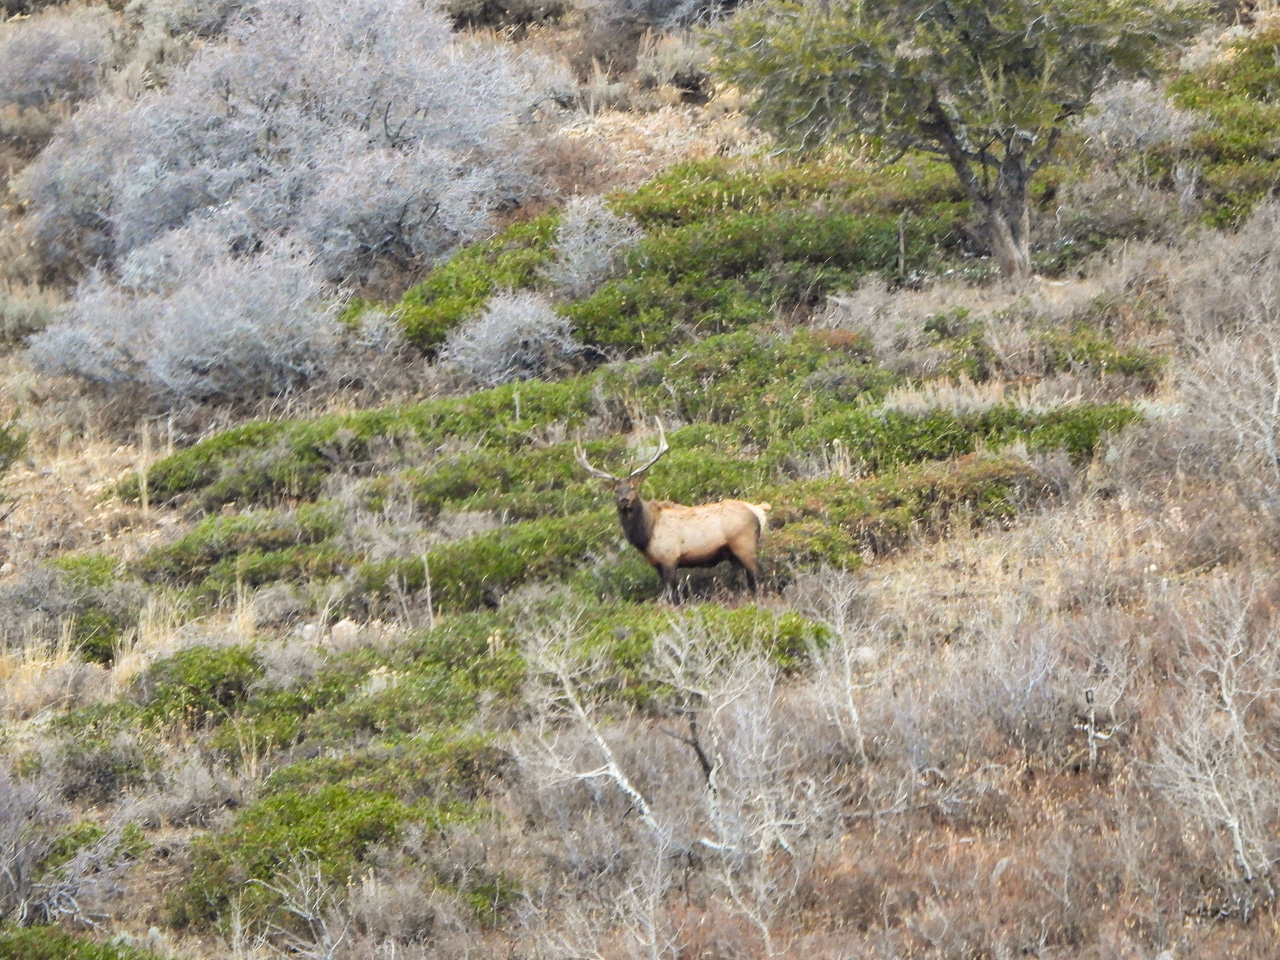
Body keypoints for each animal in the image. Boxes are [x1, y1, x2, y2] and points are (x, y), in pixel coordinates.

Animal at [576, 419, 771, 601]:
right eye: (616, 491)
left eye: (632, 488)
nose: (624, 500)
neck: (645, 535)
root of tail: (758, 510)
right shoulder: (656, 563)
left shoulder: (669, 557)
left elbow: (670, 593)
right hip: (732, 554)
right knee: (742, 580)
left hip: (744, 544)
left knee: (759, 575)